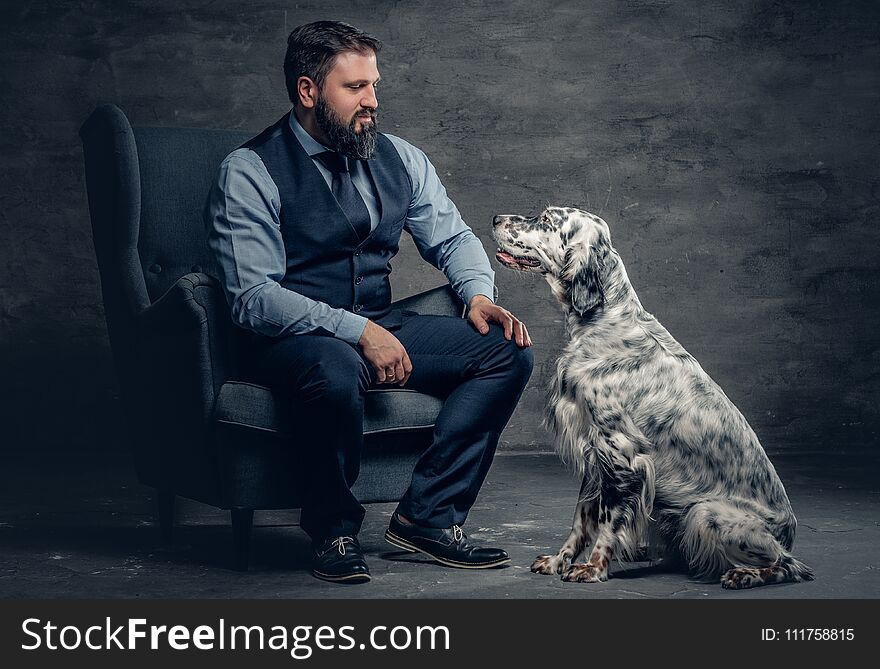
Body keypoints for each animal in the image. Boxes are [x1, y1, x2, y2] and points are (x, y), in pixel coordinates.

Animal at [492, 206, 816, 588]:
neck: (604, 321)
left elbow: (608, 521)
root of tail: (789, 532)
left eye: (545, 219)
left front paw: (592, 568)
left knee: (791, 565)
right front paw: (560, 560)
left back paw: (745, 575)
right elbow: (580, 519)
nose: (496, 219)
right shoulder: (594, 453)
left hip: (705, 512)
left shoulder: (622, 454)